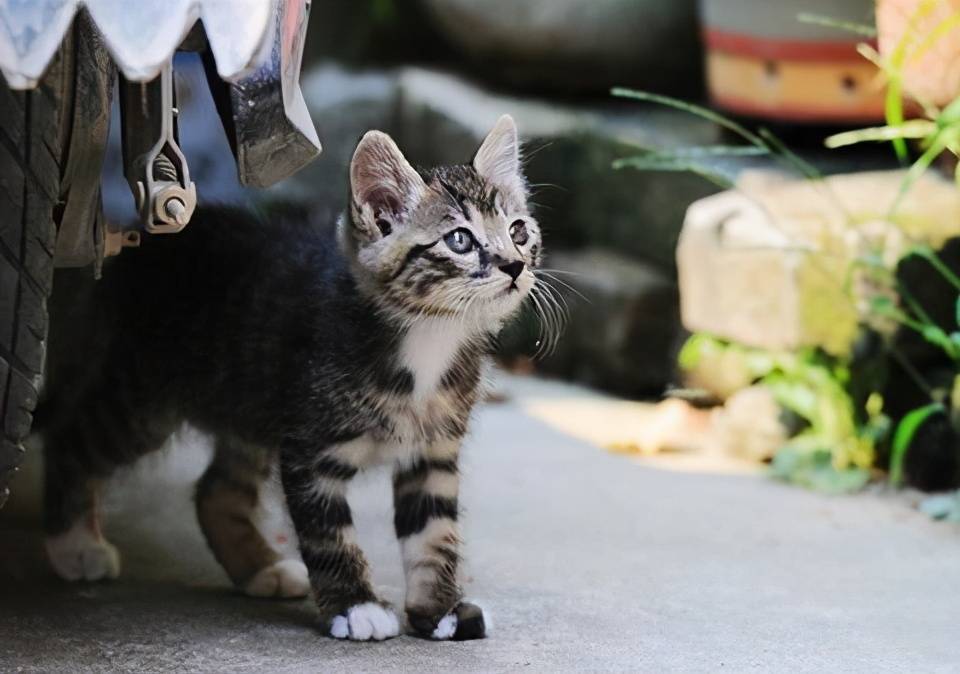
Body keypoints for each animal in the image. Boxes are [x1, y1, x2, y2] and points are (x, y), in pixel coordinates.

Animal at [39, 115, 548, 640]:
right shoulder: (310, 450)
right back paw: (73, 544)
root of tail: (142, 242)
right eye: (460, 240)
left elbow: (434, 535)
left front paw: (440, 610)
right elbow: (329, 534)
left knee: (216, 490)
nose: (515, 265)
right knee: (69, 438)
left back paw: (259, 568)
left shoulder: (432, 453)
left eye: (518, 231)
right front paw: (356, 605)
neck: (428, 340)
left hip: (247, 401)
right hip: (144, 402)